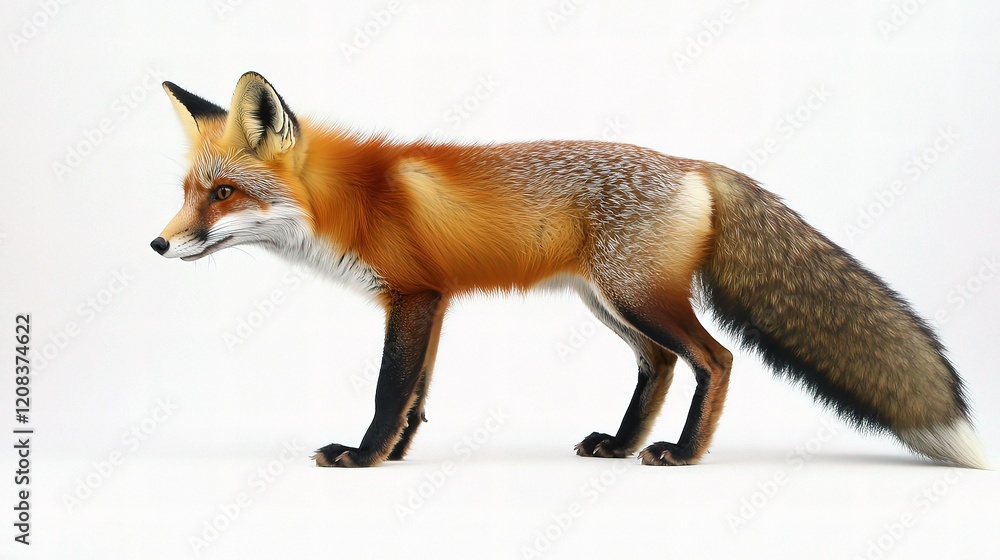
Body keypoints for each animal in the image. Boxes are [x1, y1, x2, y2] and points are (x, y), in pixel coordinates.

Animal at [151, 71, 988, 469]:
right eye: (188, 192)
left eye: (223, 195)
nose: (158, 246)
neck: (351, 200)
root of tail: (696, 166)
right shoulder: (434, 300)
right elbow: (418, 396)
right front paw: (398, 457)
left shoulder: (414, 296)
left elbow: (392, 390)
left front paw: (363, 457)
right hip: (608, 303)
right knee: (660, 366)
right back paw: (619, 444)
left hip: (639, 297)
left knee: (715, 359)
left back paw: (685, 454)